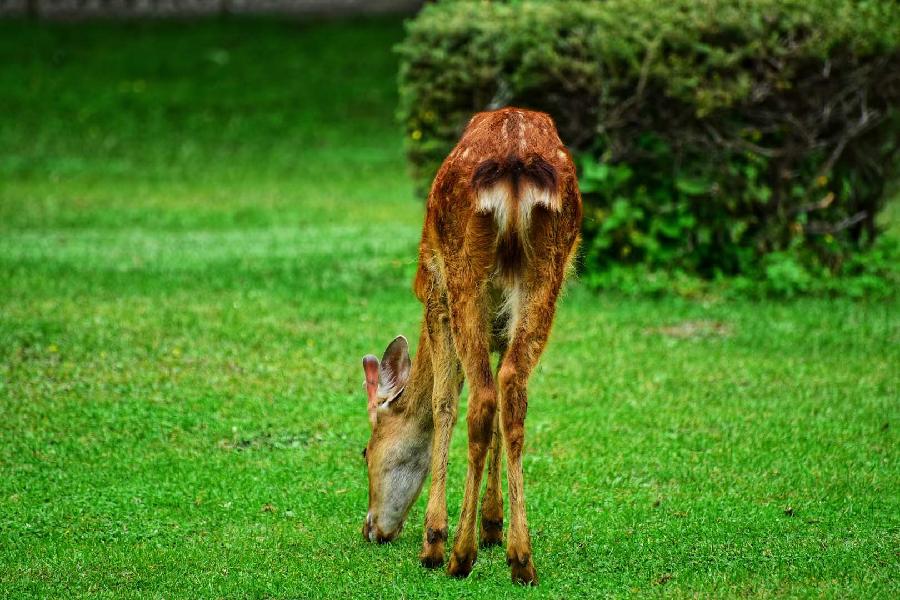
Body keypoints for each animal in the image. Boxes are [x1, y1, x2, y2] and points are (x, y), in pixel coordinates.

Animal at [359, 107, 581, 585]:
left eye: (364, 450)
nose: (369, 528)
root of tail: (514, 165)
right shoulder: (499, 325)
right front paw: (493, 525)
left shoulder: (435, 294)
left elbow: (443, 402)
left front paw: (435, 538)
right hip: (546, 274)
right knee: (511, 390)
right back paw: (521, 559)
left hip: (462, 271)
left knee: (480, 399)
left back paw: (457, 554)